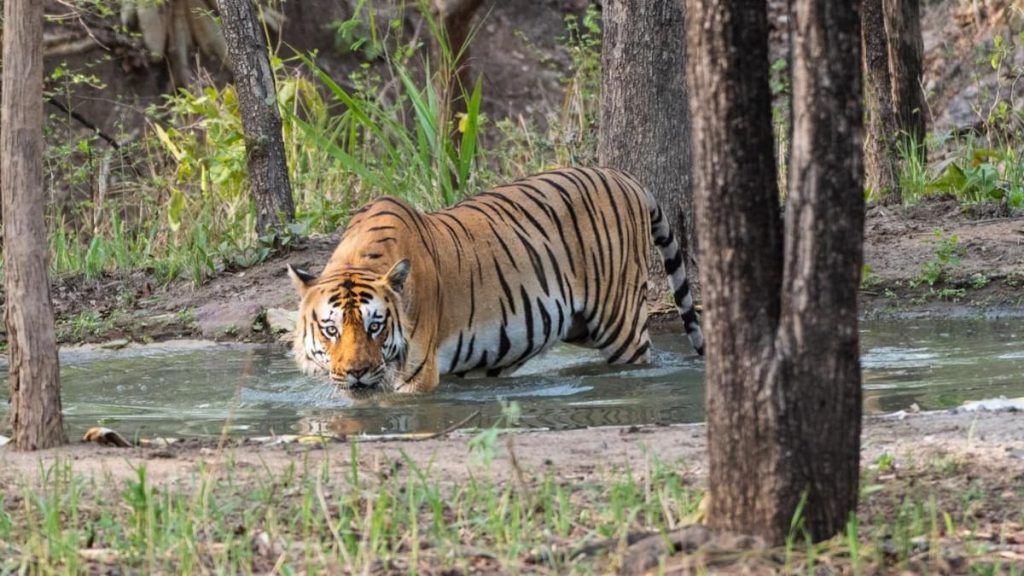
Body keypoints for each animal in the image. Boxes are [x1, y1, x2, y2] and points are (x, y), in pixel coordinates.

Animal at [288, 163, 704, 391]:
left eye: (375, 326)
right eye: (330, 329)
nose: (356, 373)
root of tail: (625, 177)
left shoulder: (417, 375)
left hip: (619, 323)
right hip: (578, 324)